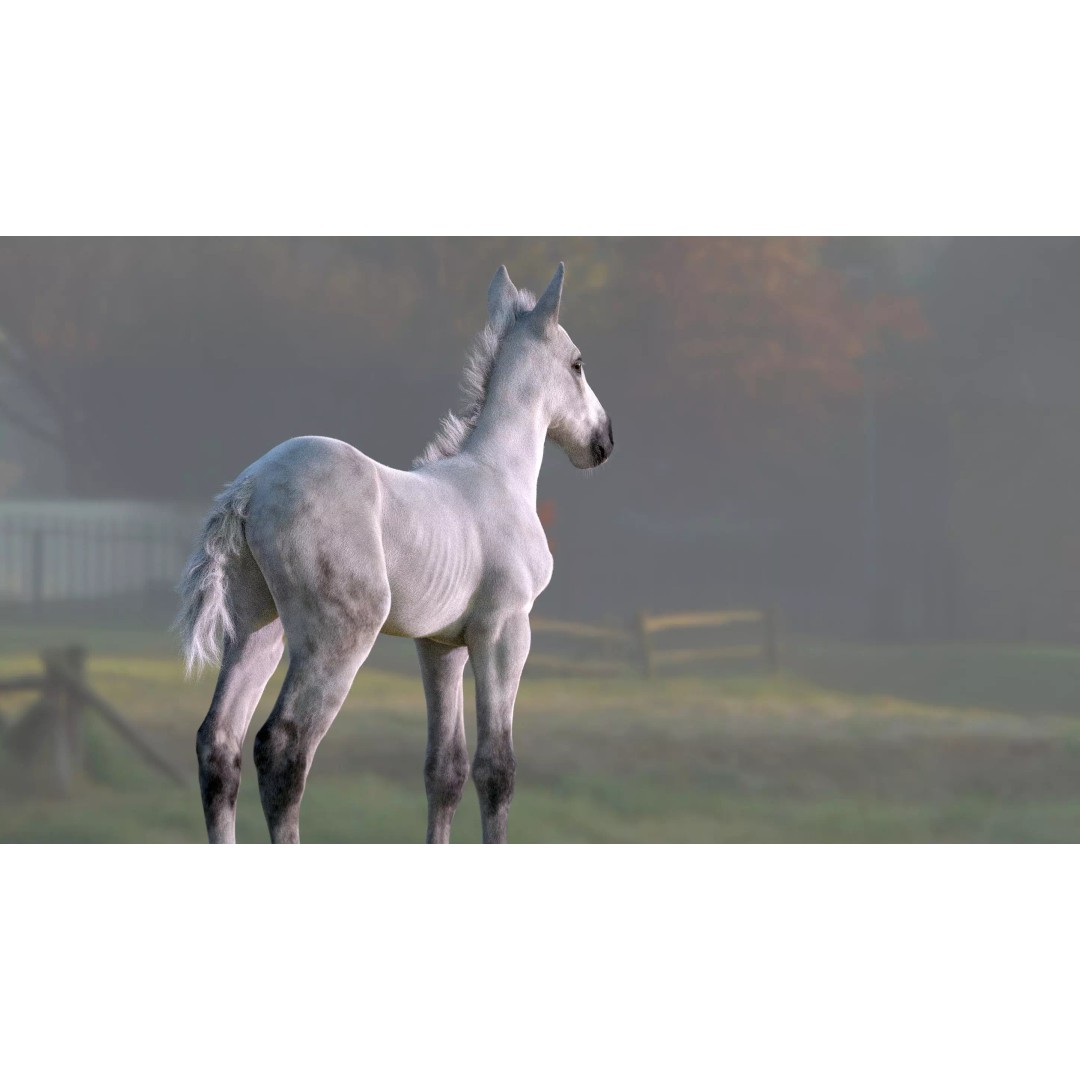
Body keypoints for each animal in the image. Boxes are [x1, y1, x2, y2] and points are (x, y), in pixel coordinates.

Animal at [176, 263, 613, 843]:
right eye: (578, 364)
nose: (604, 441)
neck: (499, 476)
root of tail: (249, 488)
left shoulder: (441, 645)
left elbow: (444, 771)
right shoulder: (504, 631)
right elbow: (496, 770)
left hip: (257, 628)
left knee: (218, 742)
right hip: (339, 638)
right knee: (283, 748)